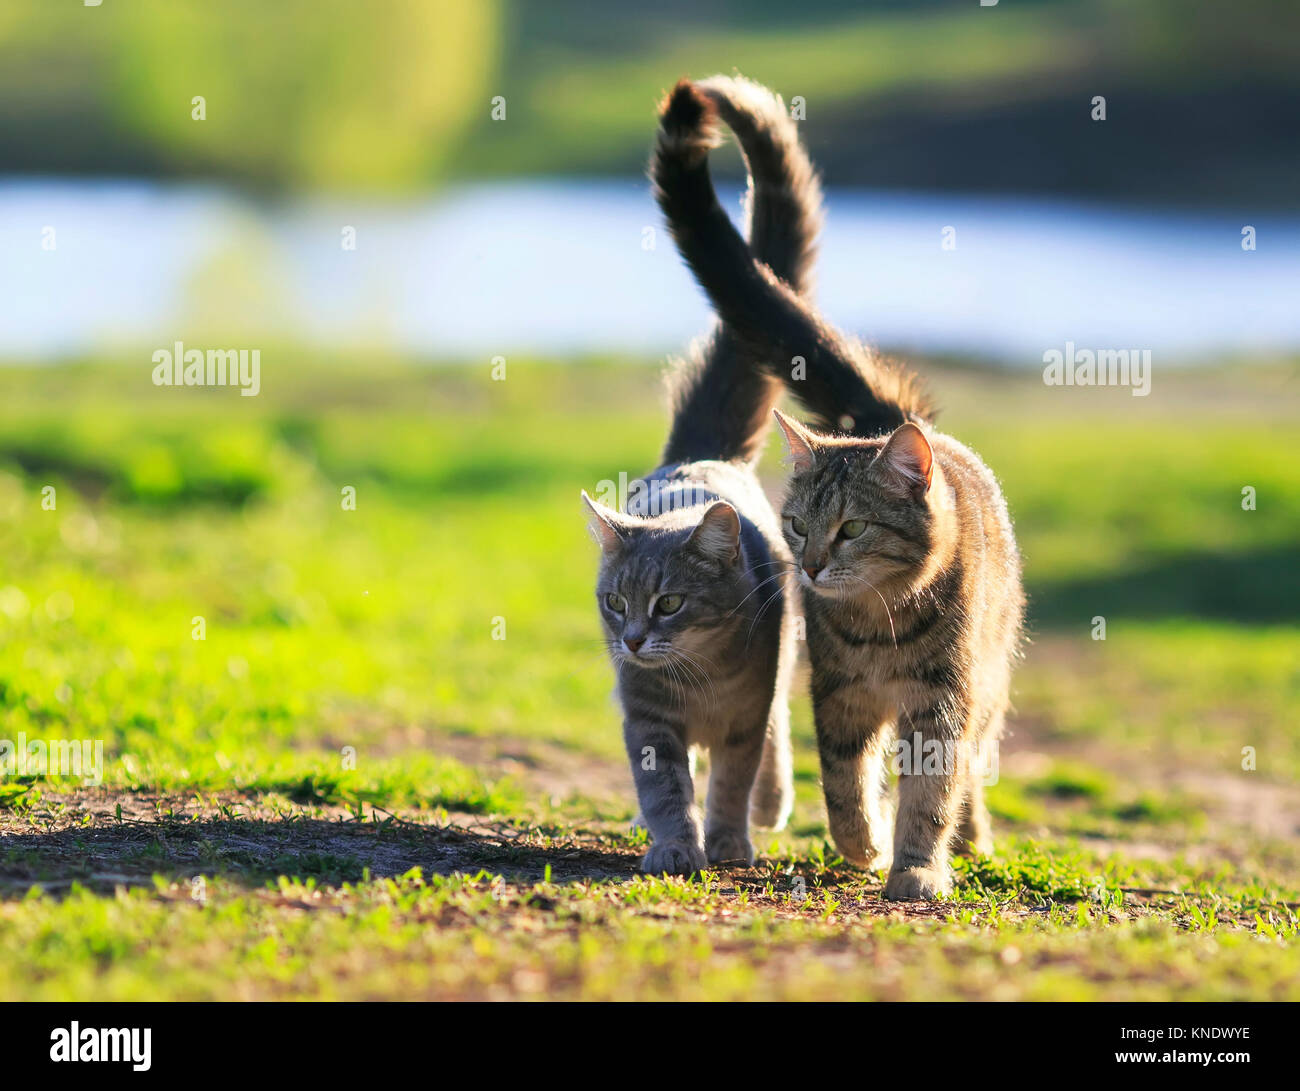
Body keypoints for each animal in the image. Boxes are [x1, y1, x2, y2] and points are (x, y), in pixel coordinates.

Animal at [587, 76, 821, 873]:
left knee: (775, 742)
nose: (632, 641)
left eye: (668, 604)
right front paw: (673, 845)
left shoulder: (746, 715)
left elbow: (732, 778)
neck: (699, 681)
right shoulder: (648, 723)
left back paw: (770, 807)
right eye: (615, 602)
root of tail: (702, 457)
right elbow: (665, 787)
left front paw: (725, 840)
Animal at [655, 74, 1019, 894]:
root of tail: (892, 419)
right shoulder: (839, 695)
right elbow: (845, 781)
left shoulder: (942, 704)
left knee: (978, 765)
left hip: (990, 678)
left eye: (852, 528)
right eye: (797, 526)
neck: (880, 624)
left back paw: (974, 836)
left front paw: (916, 868)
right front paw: (863, 844)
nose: (815, 566)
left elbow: (932, 792)